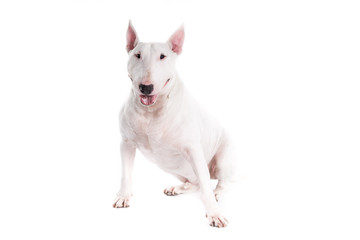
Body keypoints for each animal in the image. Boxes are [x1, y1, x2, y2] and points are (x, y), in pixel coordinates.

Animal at [113, 21, 236, 227]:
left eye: (163, 56)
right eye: (137, 55)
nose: (146, 87)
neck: (151, 111)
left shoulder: (193, 149)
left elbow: (206, 187)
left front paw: (214, 214)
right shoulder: (126, 143)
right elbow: (125, 173)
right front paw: (123, 197)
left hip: (223, 158)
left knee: (219, 182)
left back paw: (217, 193)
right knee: (196, 183)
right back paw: (177, 188)